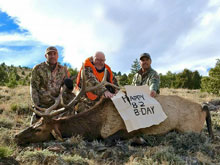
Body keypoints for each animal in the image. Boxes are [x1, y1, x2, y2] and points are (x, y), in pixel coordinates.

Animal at [14, 65, 214, 144]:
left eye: (39, 129)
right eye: (35, 123)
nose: (16, 136)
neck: (96, 124)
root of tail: (202, 108)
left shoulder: (124, 130)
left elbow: (110, 138)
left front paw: (140, 141)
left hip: (188, 128)